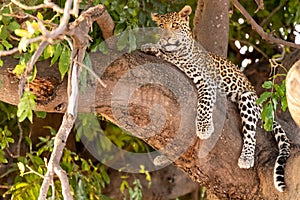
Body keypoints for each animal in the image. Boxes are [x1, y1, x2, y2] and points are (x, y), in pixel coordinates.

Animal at [141, 4, 290, 192]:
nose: (166, 38)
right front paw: (151, 46)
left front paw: (204, 128)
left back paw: (246, 158)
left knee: (250, 133)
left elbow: (204, 103)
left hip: (248, 98)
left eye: (174, 25)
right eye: (161, 27)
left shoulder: (205, 80)